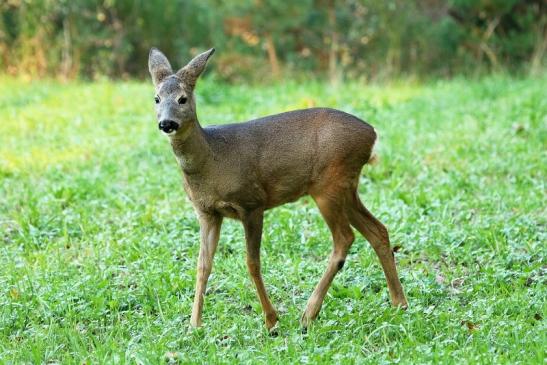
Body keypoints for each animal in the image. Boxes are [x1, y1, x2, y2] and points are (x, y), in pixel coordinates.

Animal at [148, 46, 408, 330]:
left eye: (183, 99)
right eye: (156, 98)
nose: (167, 123)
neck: (212, 159)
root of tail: (372, 135)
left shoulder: (251, 203)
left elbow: (252, 263)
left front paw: (271, 320)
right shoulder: (207, 212)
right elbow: (203, 265)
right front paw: (194, 325)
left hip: (328, 184)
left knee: (344, 238)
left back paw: (309, 314)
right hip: (346, 186)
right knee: (377, 230)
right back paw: (399, 303)